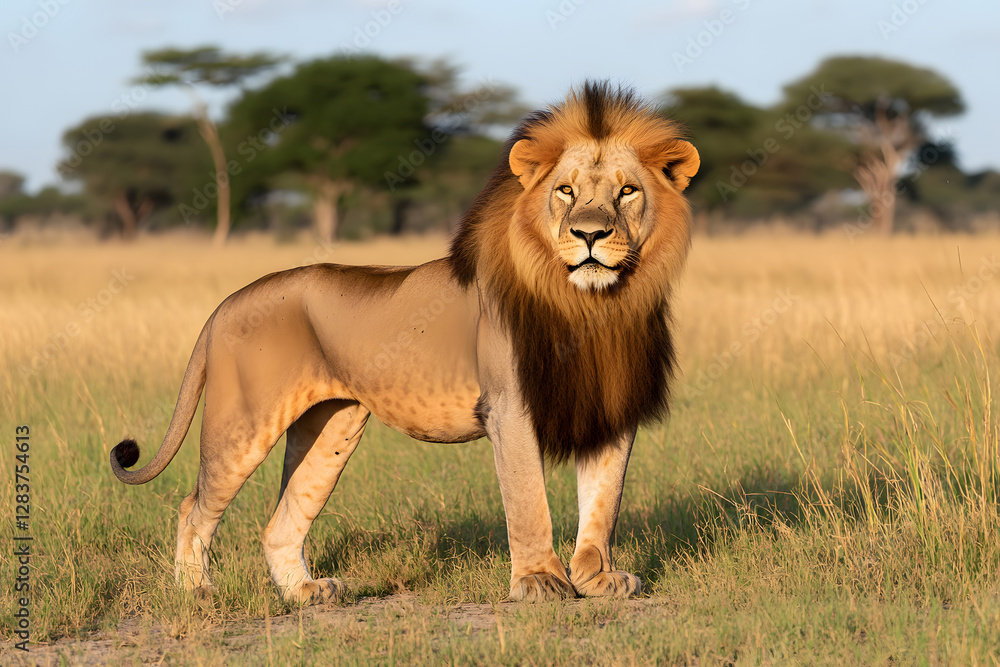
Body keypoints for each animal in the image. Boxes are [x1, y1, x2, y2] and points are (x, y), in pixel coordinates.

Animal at [110, 81, 699, 604]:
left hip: (330, 428)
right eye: (566, 191)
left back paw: (306, 594)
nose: (590, 234)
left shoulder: (612, 405)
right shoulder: (509, 406)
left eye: (627, 191)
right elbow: (528, 497)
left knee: (280, 521)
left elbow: (604, 501)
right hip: (242, 423)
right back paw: (198, 593)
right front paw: (538, 583)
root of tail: (227, 302)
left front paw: (597, 580)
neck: (595, 307)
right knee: (192, 507)